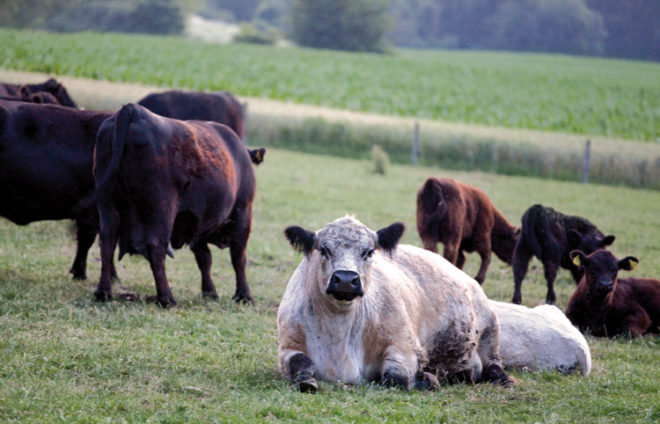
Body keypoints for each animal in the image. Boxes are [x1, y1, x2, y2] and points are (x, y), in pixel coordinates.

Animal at [95, 104, 266, 306]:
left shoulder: (199, 224)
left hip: (108, 206)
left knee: (107, 242)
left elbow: (204, 259)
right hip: (162, 209)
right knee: (156, 246)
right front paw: (244, 295)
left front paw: (209, 291)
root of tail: (133, 109)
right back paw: (166, 298)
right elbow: (238, 258)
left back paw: (103, 292)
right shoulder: (242, 214)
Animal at [276, 217, 512, 392]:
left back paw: (502, 379)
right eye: (324, 249)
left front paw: (425, 379)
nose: (345, 279)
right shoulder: (288, 346)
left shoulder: (403, 346)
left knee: (493, 364)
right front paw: (306, 381)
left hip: (490, 332)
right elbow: (300, 365)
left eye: (369, 251)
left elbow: (396, 377)